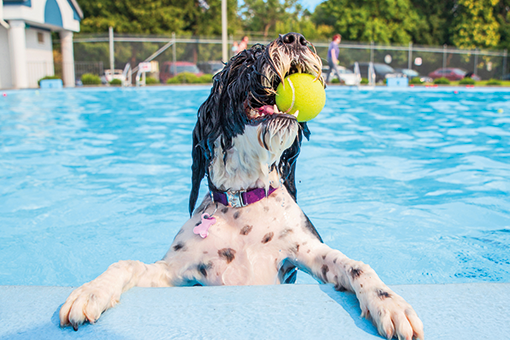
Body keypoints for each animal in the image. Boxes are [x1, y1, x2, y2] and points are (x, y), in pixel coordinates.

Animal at [59, 32, 424, 340]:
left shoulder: (306, 253)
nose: (296, 38)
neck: (243, 201)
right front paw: (91, 291)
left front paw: (390, 303)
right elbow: (127, 264)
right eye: (247, 60)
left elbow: (356, 266)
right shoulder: (175, 274)